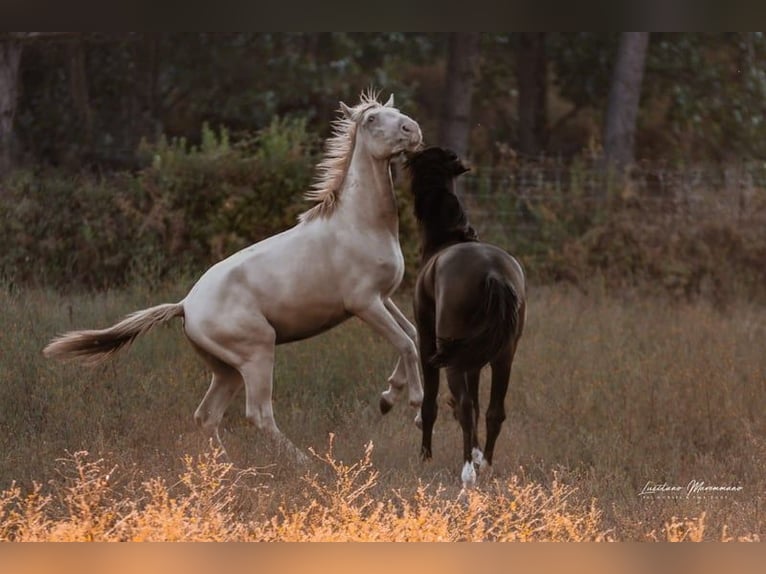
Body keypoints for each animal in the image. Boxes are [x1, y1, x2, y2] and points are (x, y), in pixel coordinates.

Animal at [43, 92, 426, 466]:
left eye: (396, 111)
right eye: (372, 119)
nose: (413, 130)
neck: (360, 222)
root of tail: (185, 305)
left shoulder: (384, 297)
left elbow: (413, 335)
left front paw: (389, 396)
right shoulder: (364, 303)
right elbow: (405, 343)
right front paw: (415, 406)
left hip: (226, 368)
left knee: (206, 415)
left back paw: (227, 470)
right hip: (257, 354)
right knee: (258, 414)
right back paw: (304, 463)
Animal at [408, 146, 528, 488]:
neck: (450, 238)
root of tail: (493, 273)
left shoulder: (427, 342)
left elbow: (432, 402)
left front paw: (425, 456)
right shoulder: (474, 360)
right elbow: (476, 401)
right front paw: (475, 452)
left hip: (452, 359)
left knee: (463, 408)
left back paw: (467, 472)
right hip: (503, 356)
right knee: (492, 411)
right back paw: (484, 463)